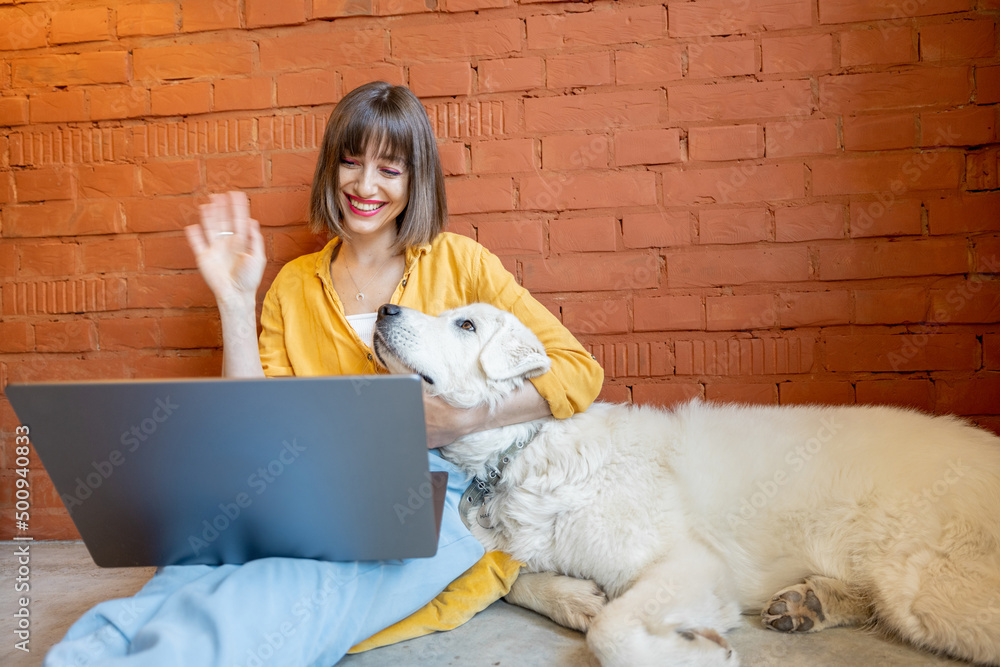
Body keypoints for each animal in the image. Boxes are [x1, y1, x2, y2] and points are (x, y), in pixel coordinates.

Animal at [374, 304, 1000, 667]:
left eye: (466, 324)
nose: (384, 307)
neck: (521, 452)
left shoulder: (687, 564)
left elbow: (612, 632)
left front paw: (696, 652)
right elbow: (514, 580)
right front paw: (575, 598)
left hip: (929, 587)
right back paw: (810, 603)